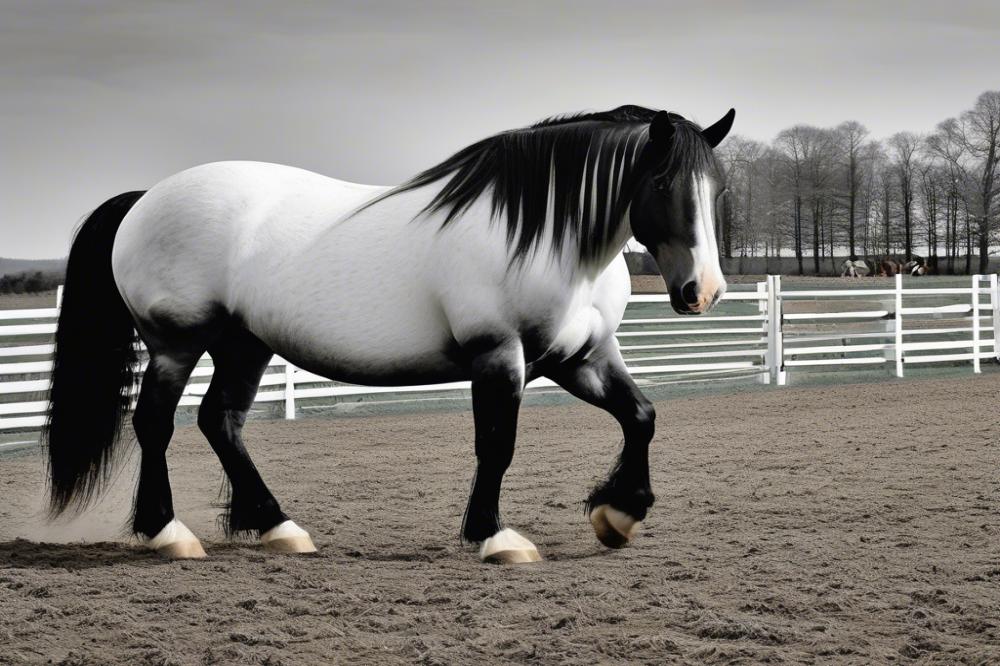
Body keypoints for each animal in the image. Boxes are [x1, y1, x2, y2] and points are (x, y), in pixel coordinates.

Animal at [43, 104, 736, 560]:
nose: (701, 291)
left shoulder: (581, 358)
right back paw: (169, 533)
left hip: (244, 345)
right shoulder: (499, 356)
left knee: (221, 422)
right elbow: (497, 446)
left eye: (717, 187)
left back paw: (278, 527)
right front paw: (494, 537)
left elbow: (641, 416)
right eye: (662, 181)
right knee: (155, 424)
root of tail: (144, 198)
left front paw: (617, 514)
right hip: (177, 342)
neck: (543, 237)